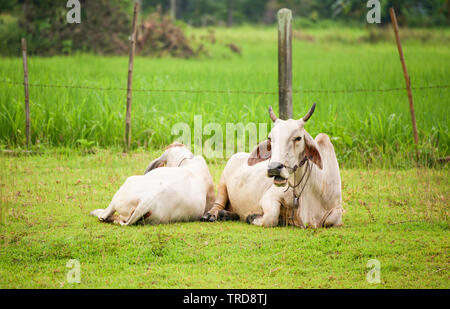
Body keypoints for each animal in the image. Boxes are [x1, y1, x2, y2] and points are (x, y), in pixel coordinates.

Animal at [202, 103, 342, 226]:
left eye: (298, 138)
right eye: (270, 138)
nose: (274, 168)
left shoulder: (337, 211)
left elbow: (331, 219)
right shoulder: (270, 196)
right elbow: (271, 217)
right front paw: (252, 217)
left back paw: (227, 215)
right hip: (222, 184)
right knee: (218, 204)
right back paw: (212, 215)